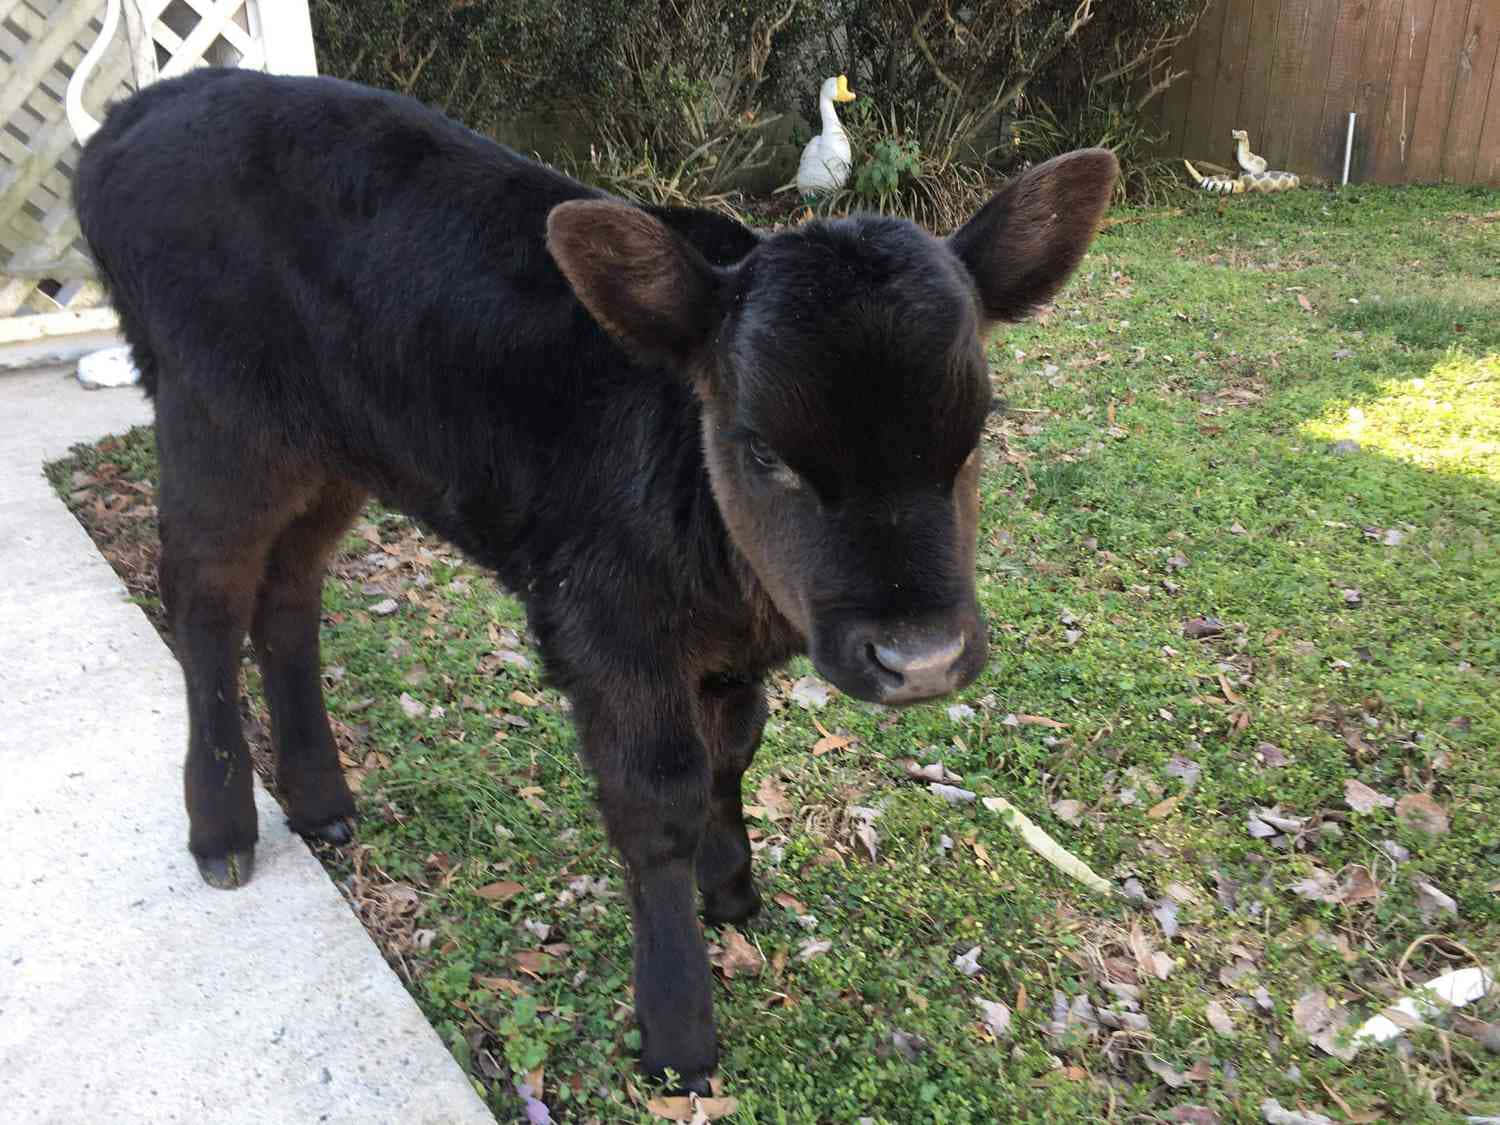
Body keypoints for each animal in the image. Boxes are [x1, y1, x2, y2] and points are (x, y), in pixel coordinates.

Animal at [75, 67, 1116, 1090]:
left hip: (332, 451)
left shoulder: (722, 649)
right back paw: (222, 829)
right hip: (217, 423)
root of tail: (137, 114)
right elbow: (656, 800)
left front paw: (732, 887)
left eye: (973, 436)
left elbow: (733, 750)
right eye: (762, 450)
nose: (922, 656)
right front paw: (679, 1030)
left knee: (289, 596)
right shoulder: (606, 625)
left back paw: (323, 802)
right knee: (207, 604)